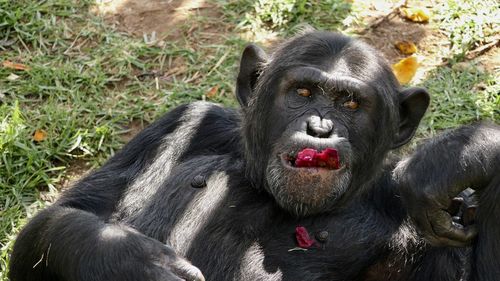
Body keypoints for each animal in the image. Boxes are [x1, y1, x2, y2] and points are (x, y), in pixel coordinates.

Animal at [8, 31, 500, 278]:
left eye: (350, 104)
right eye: (303, 93)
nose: (319, 128)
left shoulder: (432, 221)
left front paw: (463, 154)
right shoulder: (186, 124)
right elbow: (63, 218)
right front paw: (134, 262)